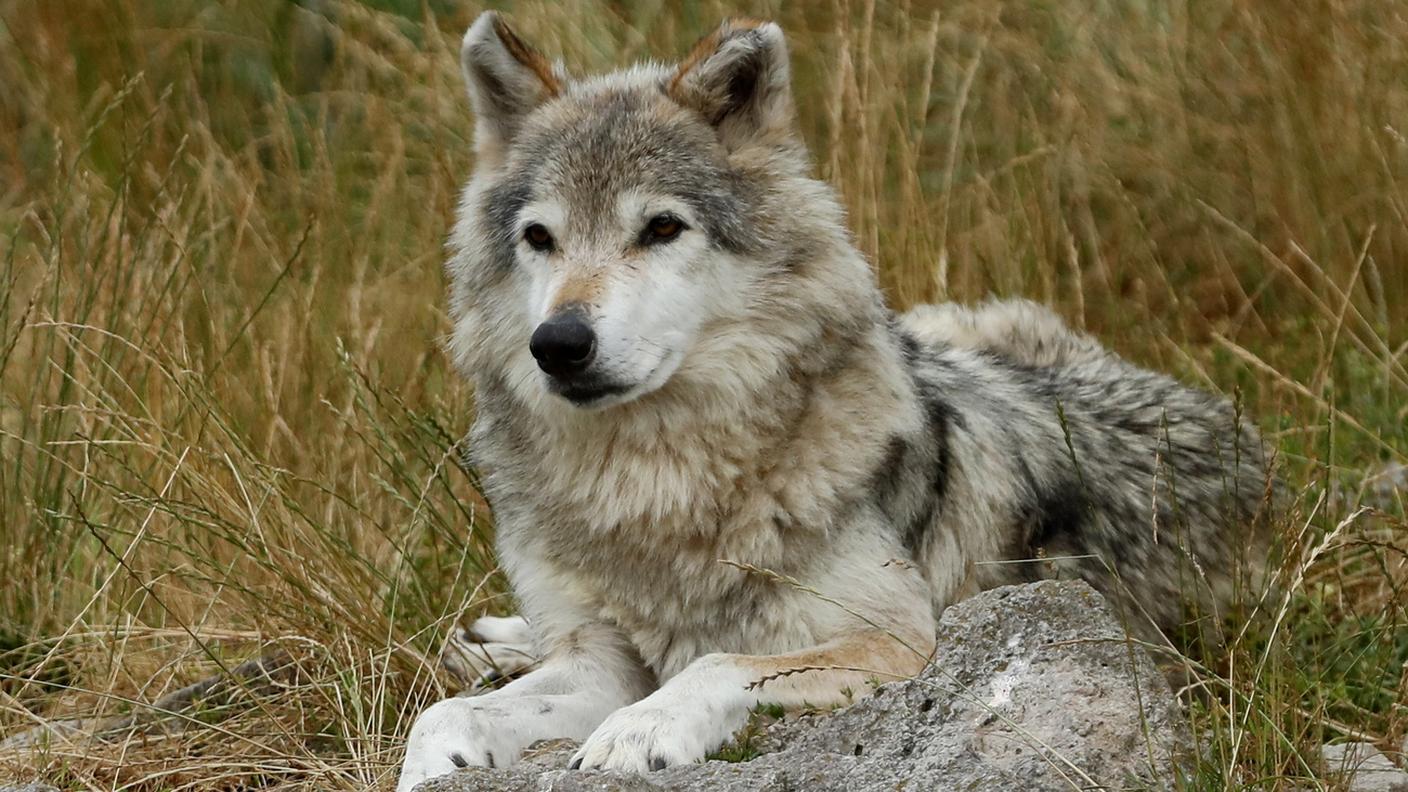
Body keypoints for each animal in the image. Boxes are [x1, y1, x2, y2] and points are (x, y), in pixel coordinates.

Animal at [397, 13, 1271, 790]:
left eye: (661, 228)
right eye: (539, 238)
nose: (559, 344)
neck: (655, 488)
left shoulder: (906, 641)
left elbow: (717, 662)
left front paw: (639, 731)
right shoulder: (596, 658)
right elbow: (444, 714)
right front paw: (434, 757)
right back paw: (492, 639)